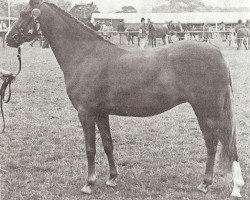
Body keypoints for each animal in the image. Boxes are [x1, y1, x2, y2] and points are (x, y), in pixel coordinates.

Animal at [5, 0, 244, 198]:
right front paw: (112, 179)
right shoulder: (101, 113)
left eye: (24, 13)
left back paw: (208, 183)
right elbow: (108, 144)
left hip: (207, 110)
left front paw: (89, 184)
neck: (85, 56)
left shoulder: (85, 113)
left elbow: (90, 148)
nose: (8, 38)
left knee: (214, 142)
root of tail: (217, 52)